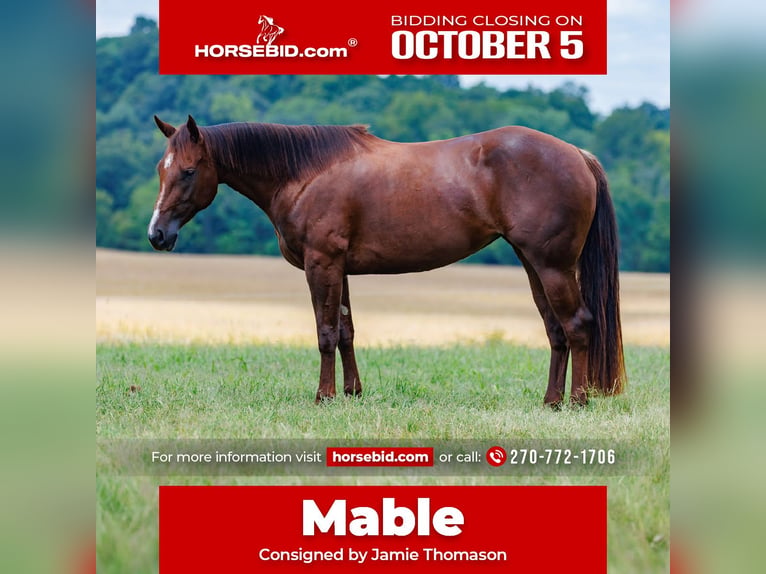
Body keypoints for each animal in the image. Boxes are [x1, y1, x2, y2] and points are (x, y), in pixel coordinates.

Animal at [149, 115, 626, 407]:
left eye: (188, 171)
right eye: (161, 169)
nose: (157, 234)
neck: (304, 173)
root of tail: (577, 154)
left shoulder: (322, 264)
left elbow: (325, 333)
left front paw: (324, 396)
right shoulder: (339, 269)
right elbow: (345, 331)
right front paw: (352, 393)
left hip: (552, 265)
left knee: (578, 325)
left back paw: (578, 401)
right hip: (532, 263)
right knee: (556, 331)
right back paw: (551, 402)